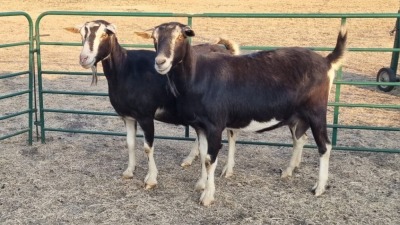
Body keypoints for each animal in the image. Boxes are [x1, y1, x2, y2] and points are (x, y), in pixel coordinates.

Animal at [66, 19, 241, 188]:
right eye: (82, 34)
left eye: (104, 34)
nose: (84, 58)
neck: (125, 69)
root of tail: (226, 50)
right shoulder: (127, 116)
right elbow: (130, 143)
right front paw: (129, 171)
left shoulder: (145, 115)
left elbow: (147, 147)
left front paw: (151, 179)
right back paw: (190, 159)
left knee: (232, 134)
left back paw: (228, 170)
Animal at [150, 21, 346, 206]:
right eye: (154, 38)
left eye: (180, 36)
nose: (160, 62)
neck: (198, 75)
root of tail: (326, 61)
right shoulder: (200, 126)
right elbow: (203, 154)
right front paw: (201, 184)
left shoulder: (215, 125)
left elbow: (210, 159)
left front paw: (207, 196)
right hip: (297, 116)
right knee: (299, 139)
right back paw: (288, 171)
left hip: (316, 112)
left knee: (325, 146)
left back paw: (319, 187)